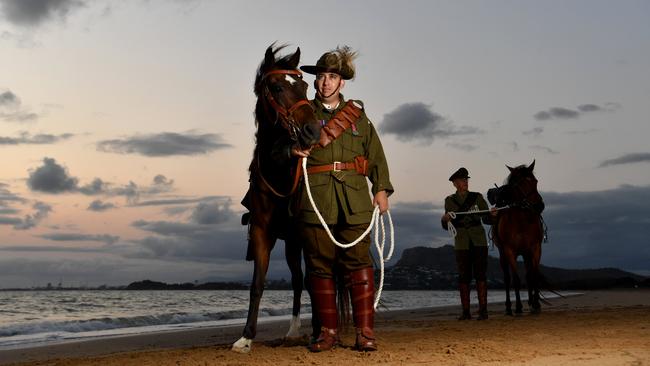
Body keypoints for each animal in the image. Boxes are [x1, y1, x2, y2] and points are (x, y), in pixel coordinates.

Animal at [234, 44, 322, 354]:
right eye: (277, 87)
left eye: (305, 86)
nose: (313, 131)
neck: (278, 171)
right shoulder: (262, 233)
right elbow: (257, 284)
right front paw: (246, 337)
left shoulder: (307, 234)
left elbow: (316, 280)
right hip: (291, 244)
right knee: (296, 280)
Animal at [492, 160, 540, 314]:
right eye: (520, 184)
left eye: (535, 181)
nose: (540, 206)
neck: (522, 221)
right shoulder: (509, 251)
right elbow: (516, 279)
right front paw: (518, 306)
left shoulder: (535, 248)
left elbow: (533, 276)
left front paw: (536, 304)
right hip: (503, 254)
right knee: (507, 278)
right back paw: (508, 307)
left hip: (525, 254)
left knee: (528, 275)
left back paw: (531, 302)